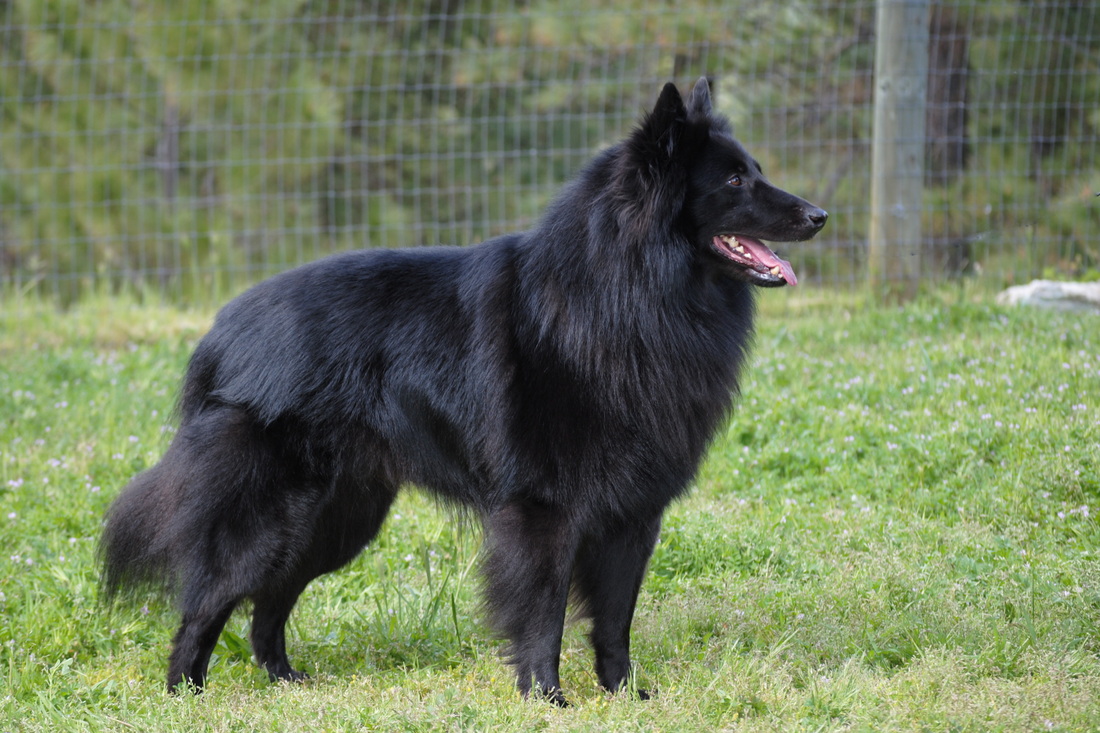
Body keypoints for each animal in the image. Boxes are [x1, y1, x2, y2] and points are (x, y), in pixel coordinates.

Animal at [101, 77, 827, 699]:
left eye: (754, 169)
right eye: (734, 179)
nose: (820, 215)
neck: (627, 293)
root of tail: (222, 329)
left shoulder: (633, 516)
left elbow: (615, 619)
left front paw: (623, 695)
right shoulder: (543, 512)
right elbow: (542, 614)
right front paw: (546, 698)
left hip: (339, 517)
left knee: (269, 601)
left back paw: (285, 681)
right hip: (276, 512)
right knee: (208, 600)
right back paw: (186, 692)